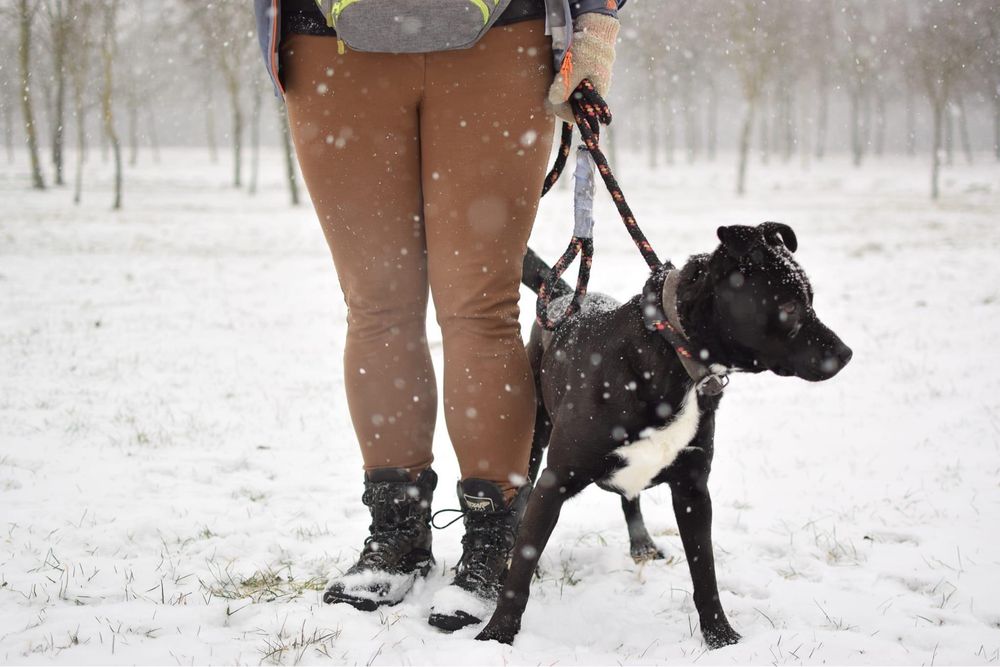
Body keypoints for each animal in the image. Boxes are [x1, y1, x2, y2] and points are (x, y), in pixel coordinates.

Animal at [476, 223, 852, 648]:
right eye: (789, 307)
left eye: (810, 300)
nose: (846, 353)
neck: (671, 355)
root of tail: (563, 297)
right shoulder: (555, 482)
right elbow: (523, 568)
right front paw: (497, 634)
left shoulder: (692, 489)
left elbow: (705, 571)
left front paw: (720, 636)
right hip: (534, 435)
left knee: (630, 499)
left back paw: (641, 542)